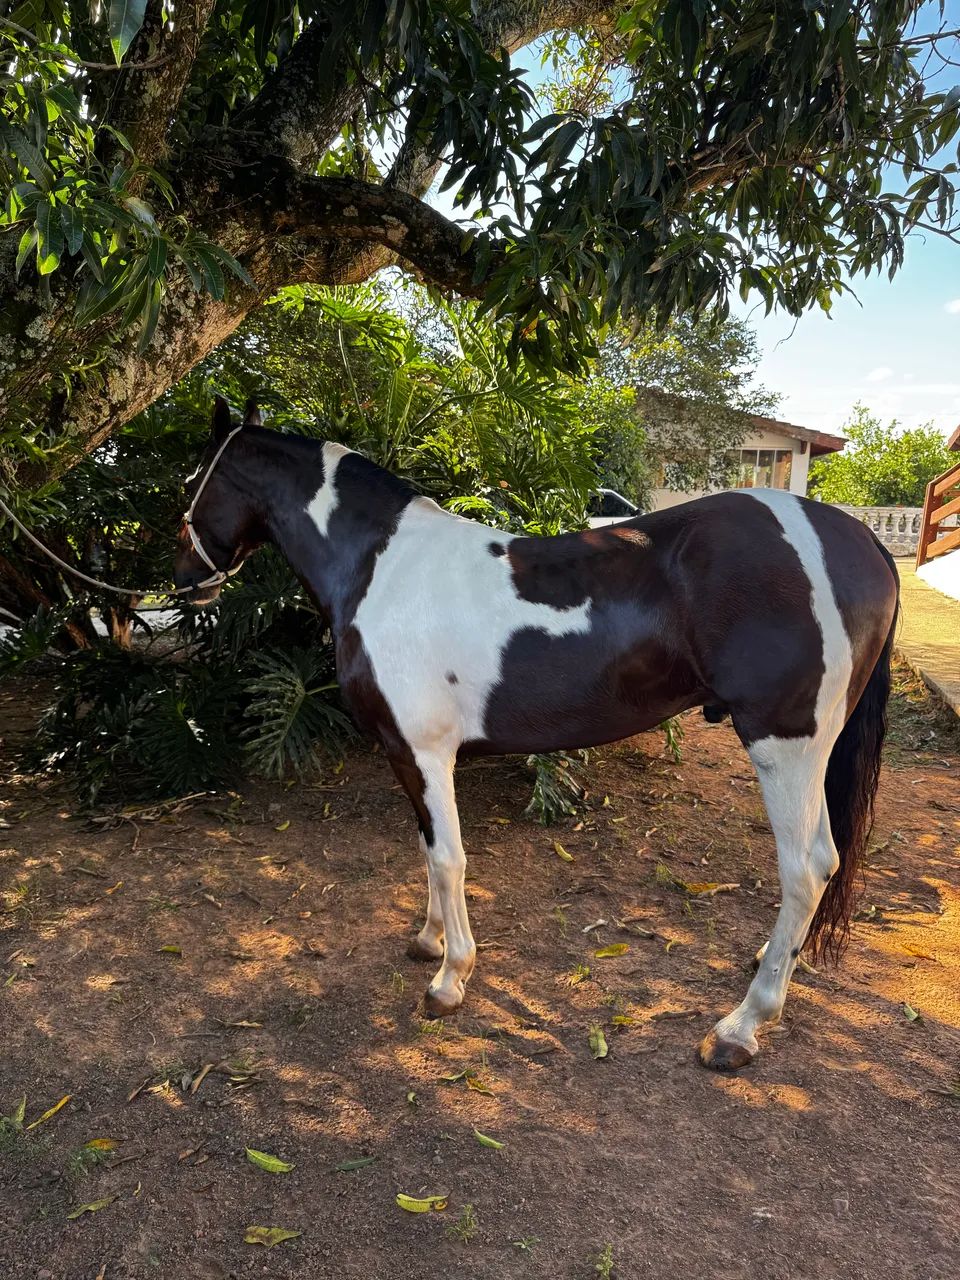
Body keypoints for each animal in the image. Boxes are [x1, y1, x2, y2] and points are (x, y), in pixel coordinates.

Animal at [173, 397, 900, 1071]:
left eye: (194, 480)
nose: (184, 582)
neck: (382, 567)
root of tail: (857, 540)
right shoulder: (410, 756)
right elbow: (427, 849)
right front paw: (429, 941)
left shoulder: (425, 753)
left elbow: (448, 858)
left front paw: (450, 979)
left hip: (786, 743)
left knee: (808, 867)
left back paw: (740, 1028)